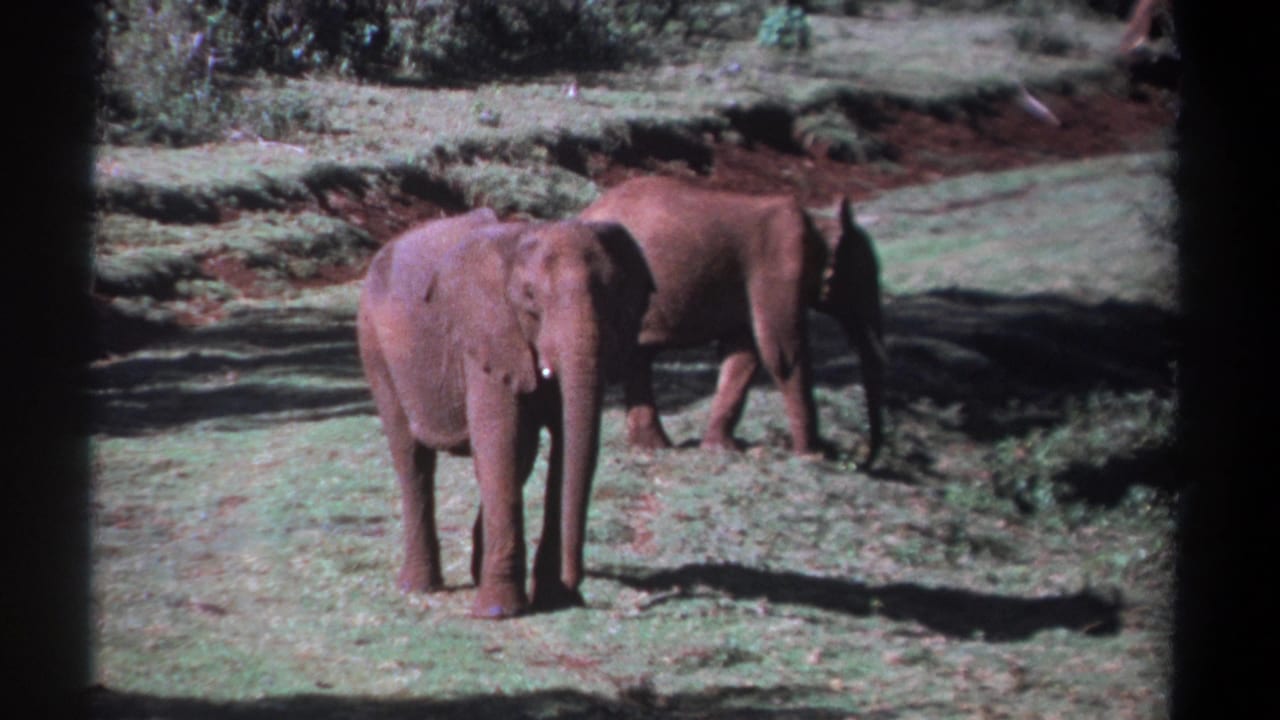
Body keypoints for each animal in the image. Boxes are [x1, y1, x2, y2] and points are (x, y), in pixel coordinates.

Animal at [357, 208, 652, 618]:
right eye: (529, 297)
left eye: (614, 292)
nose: (576, 585)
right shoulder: (488, 335)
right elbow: (502, 443)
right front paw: (498, 612)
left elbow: (556, 446)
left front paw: (554, 599)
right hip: (374, 346)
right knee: (412, 457)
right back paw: (418, 587)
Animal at [579, 176, 886, 465]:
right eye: (864, 282)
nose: (861, 460)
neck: (820, 226)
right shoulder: (777, 267)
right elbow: (783, 354)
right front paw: (813, 455)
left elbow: (742, 354)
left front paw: (721, 448)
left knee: (639, 358)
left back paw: (653, 448)